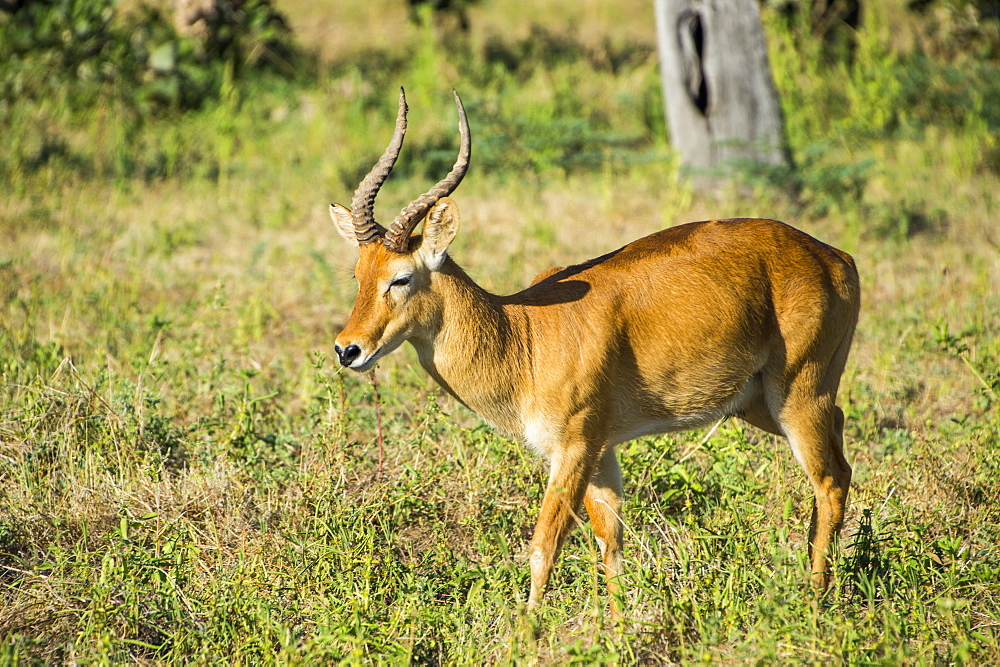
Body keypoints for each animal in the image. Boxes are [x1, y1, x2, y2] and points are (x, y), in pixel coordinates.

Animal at [328, 88, 860, 616]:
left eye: (401, 277)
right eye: (358, 273)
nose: (346, 350)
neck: (523, 337)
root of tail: (836, 257)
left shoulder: (574, 448)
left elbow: (544, 545)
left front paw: (527, 629)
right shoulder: (603, 449)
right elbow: (611, 542)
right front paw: (618, 626)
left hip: (798, 394)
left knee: (829, 481)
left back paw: (816, 602)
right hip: (760, 403)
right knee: (841, 452)